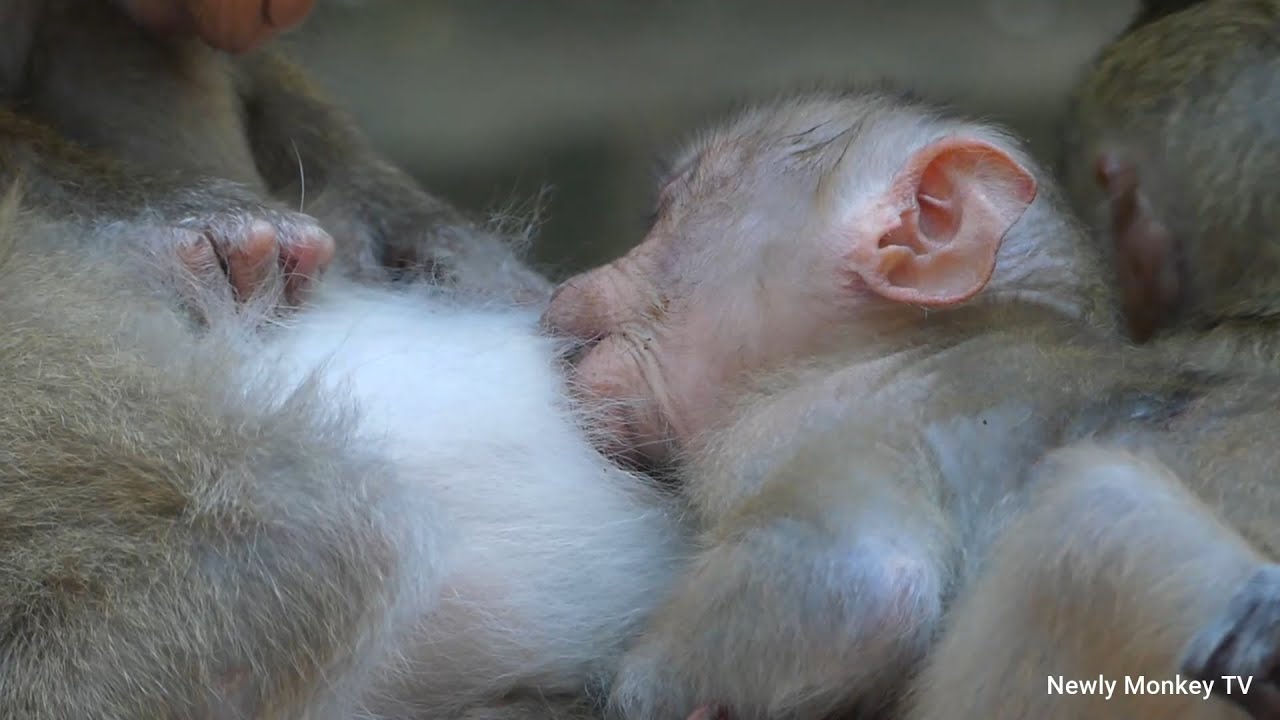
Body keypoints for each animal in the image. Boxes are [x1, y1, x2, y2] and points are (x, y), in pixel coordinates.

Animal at [542, 89, 1280, 720]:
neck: (900, 346)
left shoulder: (819, 420)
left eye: (664, 212)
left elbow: (860, 580)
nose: (565, 291)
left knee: (1091, 516)